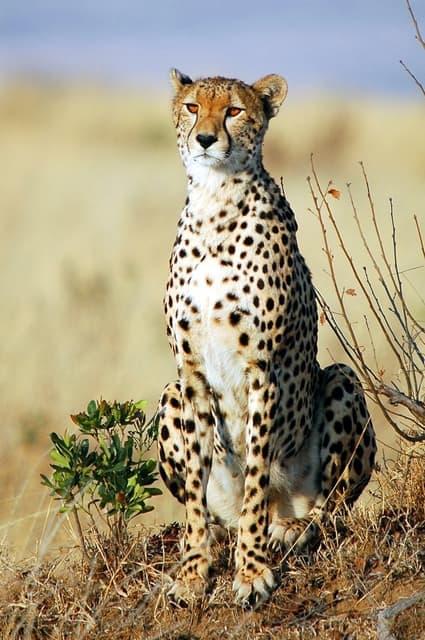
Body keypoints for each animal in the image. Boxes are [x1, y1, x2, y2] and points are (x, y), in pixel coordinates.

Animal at [157, 70, 376, 604]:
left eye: (234, 110)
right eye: (192, 106)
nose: (205, 139)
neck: (215, 204)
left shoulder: (264, 371)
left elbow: (257, 474)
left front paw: (252, 569)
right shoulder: (190, 375)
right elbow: (195, 497)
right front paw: (194, 571)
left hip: (342, 381)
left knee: (331, 507)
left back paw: (293, 527)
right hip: (169, 394)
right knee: (221, 511)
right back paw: (220, 534)